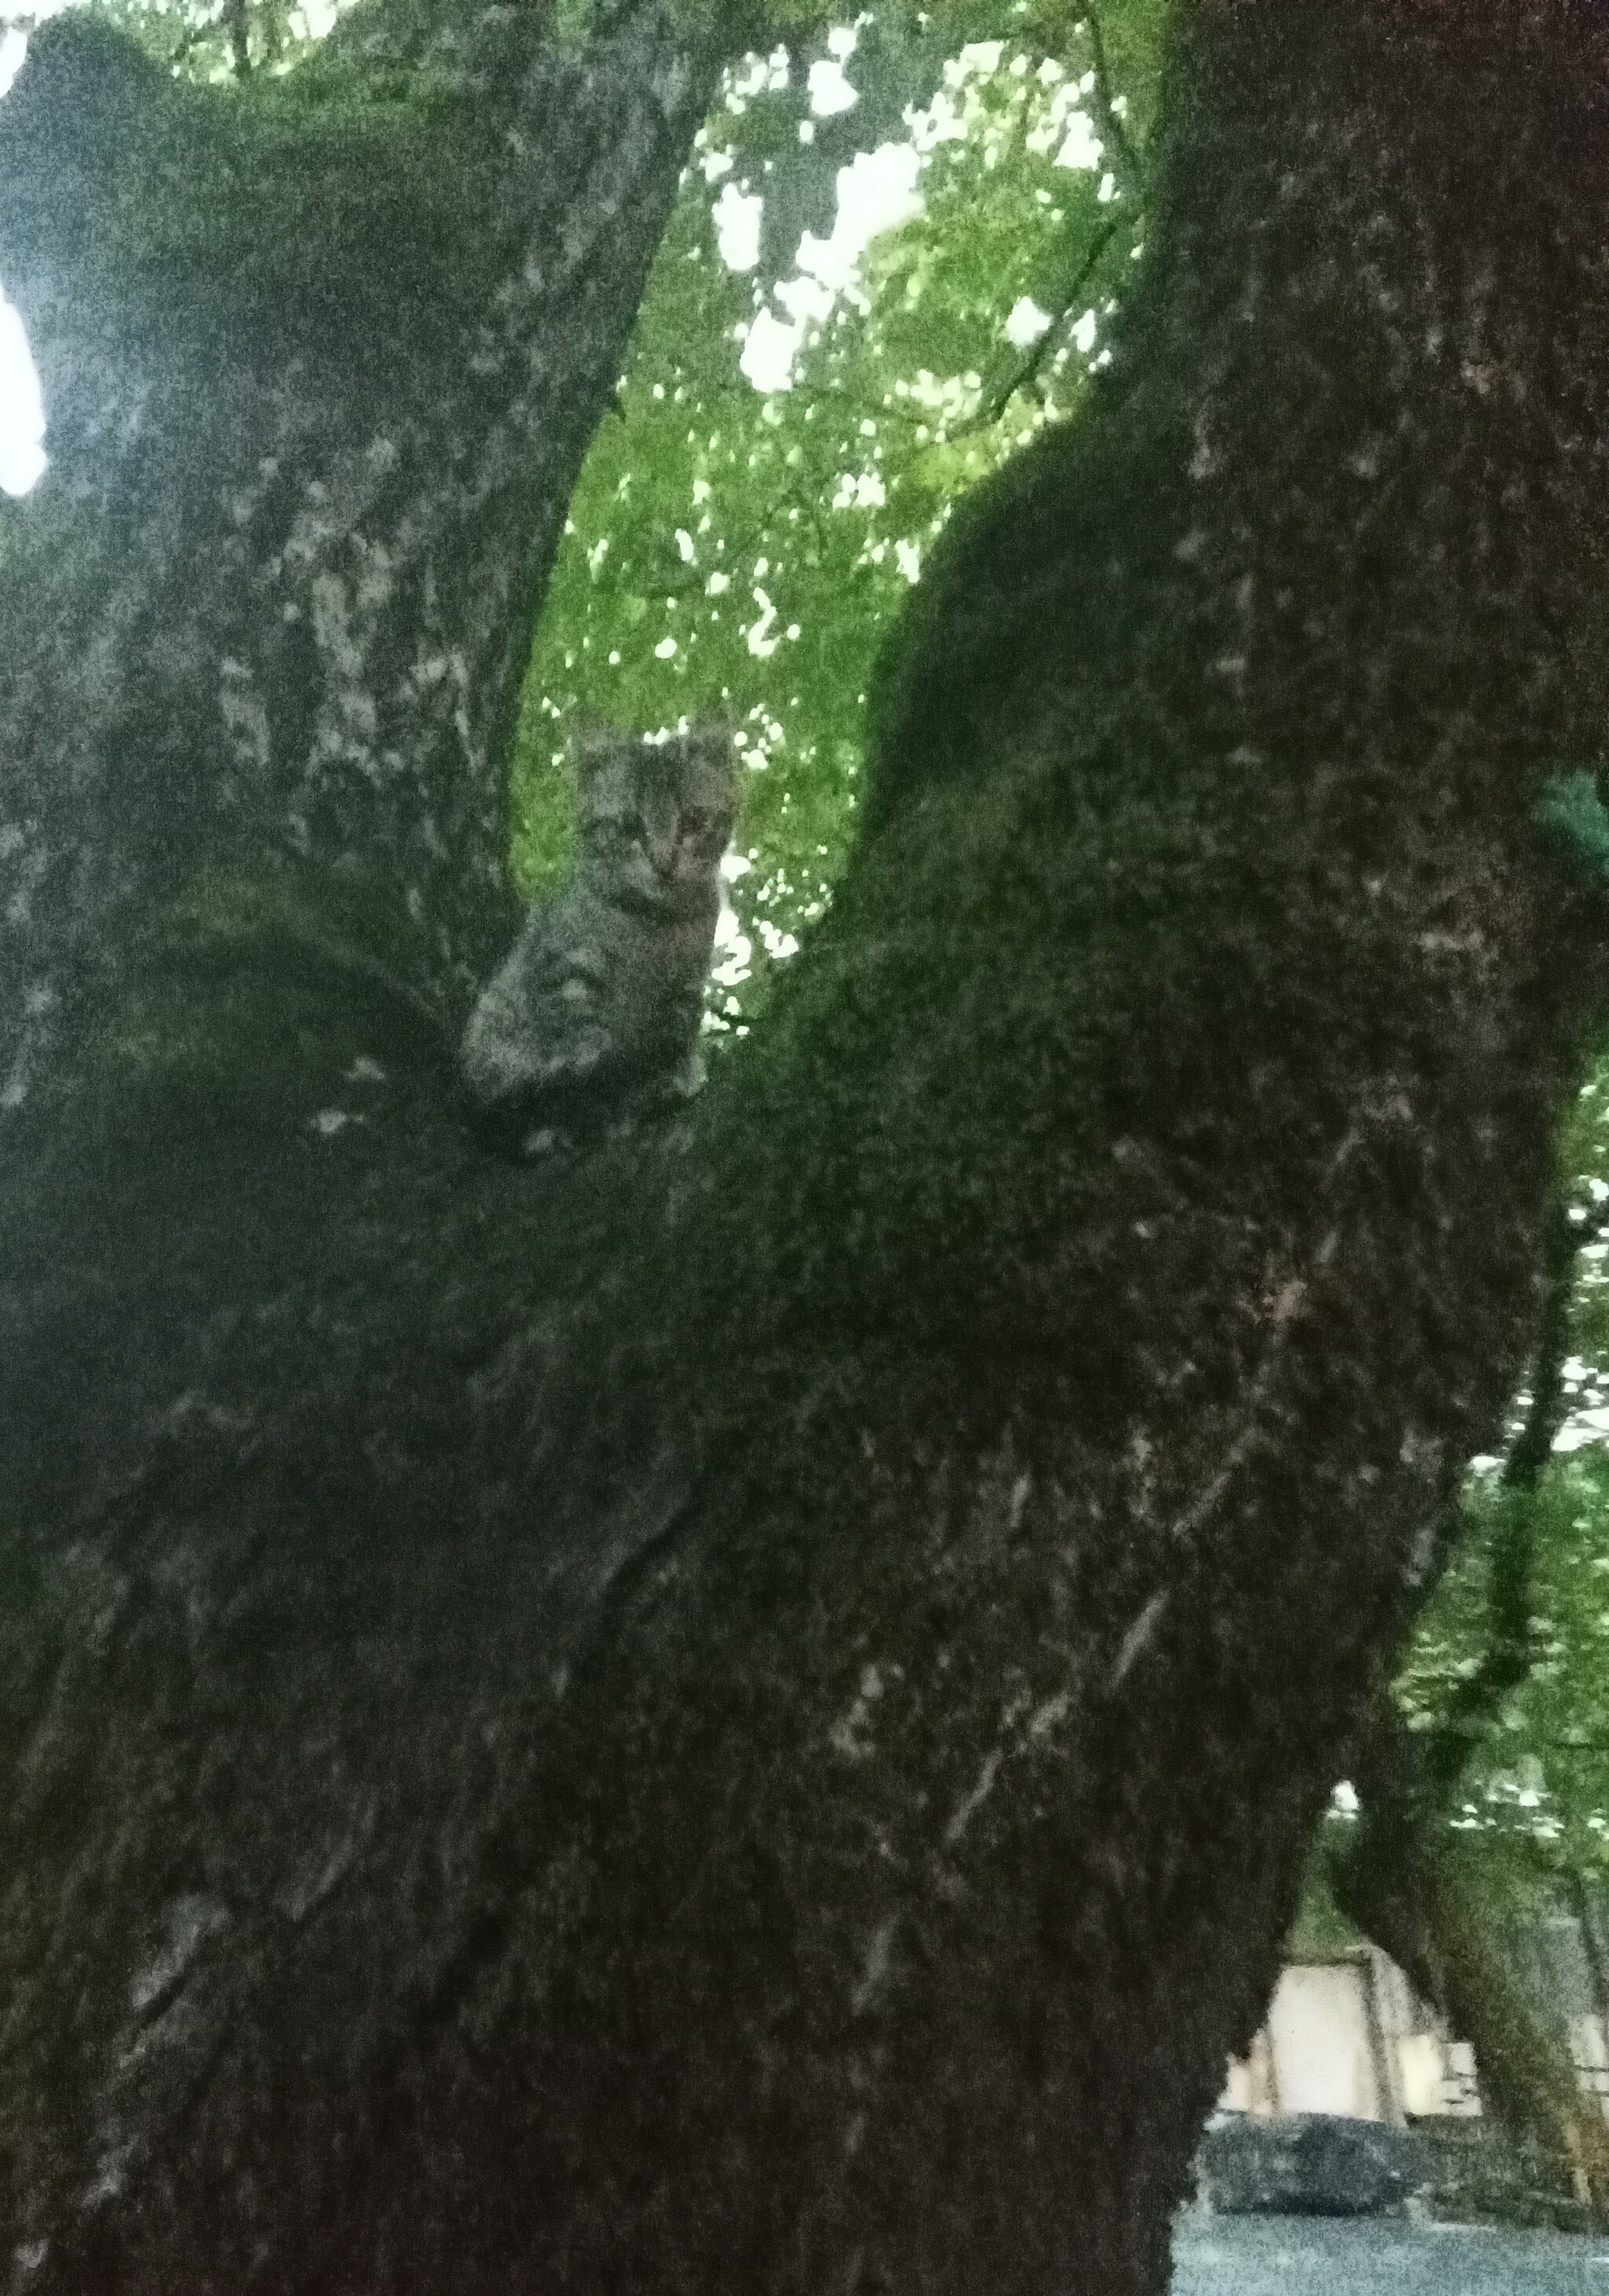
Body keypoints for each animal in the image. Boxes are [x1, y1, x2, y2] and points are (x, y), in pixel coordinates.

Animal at [461, 716, 739, 1148]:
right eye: (629, 826)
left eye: (693, 821)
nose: (663, 865)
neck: (654, 920)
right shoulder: (570, 970)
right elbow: (586, 1049)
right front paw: (604, 1096)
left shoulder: (684, 990)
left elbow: (672, 1044)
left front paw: (665, 1082)